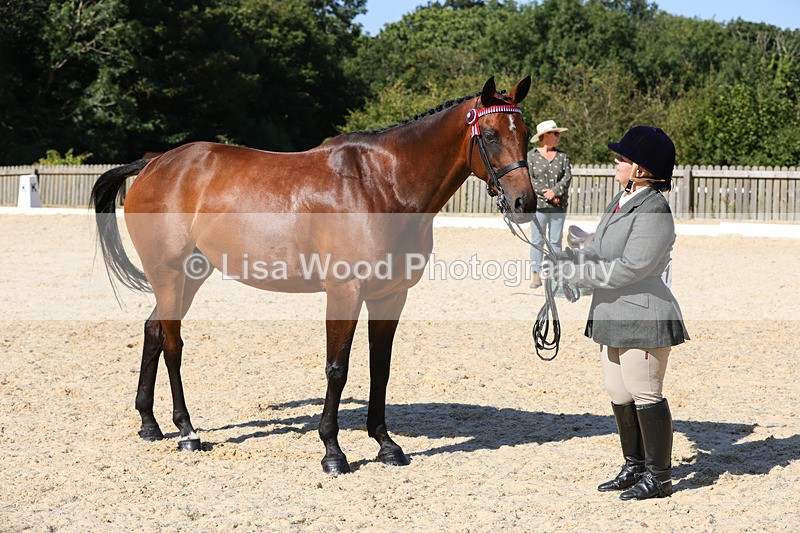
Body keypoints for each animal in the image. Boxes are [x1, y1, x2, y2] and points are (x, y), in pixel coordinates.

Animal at [91, 76, 536, 474]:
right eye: (491, 135)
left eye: (526, 133)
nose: (525, 202)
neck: (380, 184)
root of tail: (155, 163)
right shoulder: (345, 292)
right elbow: (337, 369)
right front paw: (333, 452)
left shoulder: (390, 296)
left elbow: (381, 369)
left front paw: (386, 445)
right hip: (169, 273)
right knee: (173, 343)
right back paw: (186, 431)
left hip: (191, 274)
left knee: (153, 330)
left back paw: (150, 424)